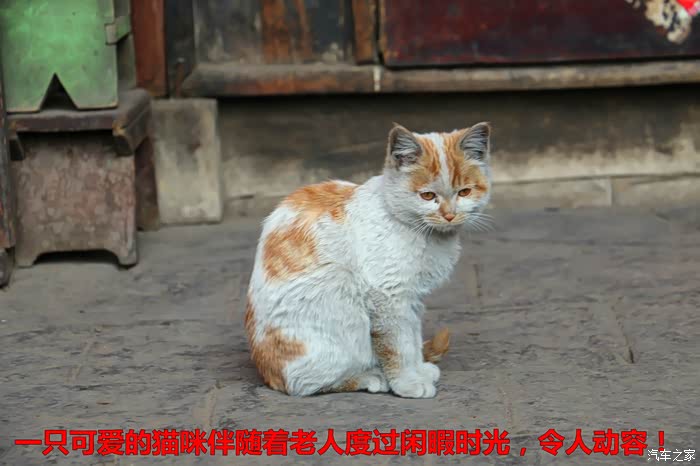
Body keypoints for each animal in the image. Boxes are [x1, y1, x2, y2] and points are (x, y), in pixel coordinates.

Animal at [244, 122, 492, 398]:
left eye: (465, 192)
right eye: (427, 196)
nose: (449, 215)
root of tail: (268, 375)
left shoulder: (412, 298)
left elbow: (413, 338)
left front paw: (418, 370)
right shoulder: (388, 296)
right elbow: (397, 346)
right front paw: (407, 382)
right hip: (341, 299)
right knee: (304, 384)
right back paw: (370, 377)